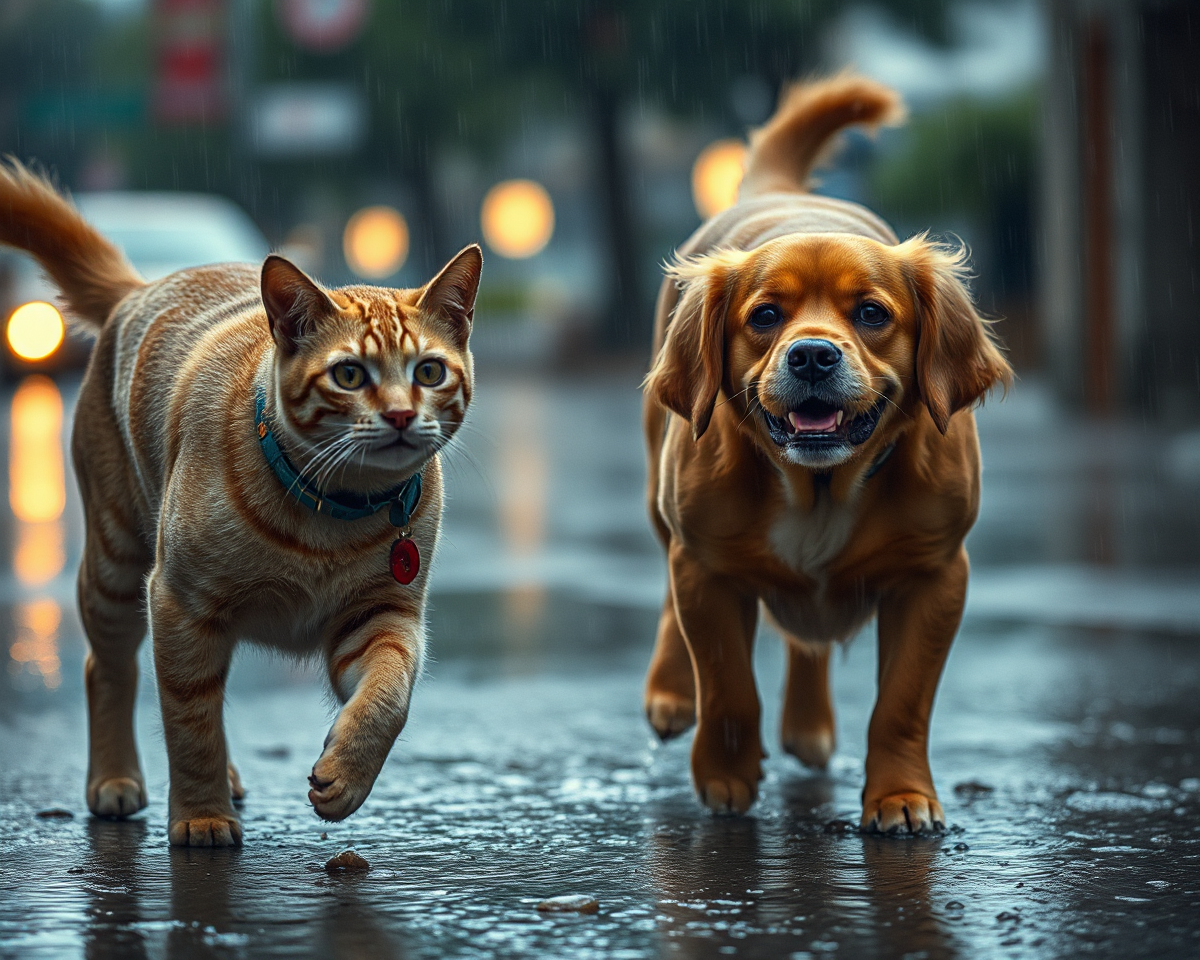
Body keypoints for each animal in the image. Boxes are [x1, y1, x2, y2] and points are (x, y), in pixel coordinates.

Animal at [1, 163, 477, 849]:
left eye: (430, 372)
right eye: (350, 375)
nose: (399, 415)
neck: (332, 513)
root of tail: (141, 287)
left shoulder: (382, 617)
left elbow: (388, 697)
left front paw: (346, 772)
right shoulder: (180, 602)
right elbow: (189, 725)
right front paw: (201, 814)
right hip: (116, 568)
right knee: (111, 671)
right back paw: (116, 779)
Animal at [643, 73, 1008, 830]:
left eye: (871, 313)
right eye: (764, 316)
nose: (812, 354)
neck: (820, 486)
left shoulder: (935, 578)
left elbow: (901, 704)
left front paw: (901, 798)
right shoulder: (705, 568)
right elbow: (727, 684)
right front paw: (724, 778)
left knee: (805, 641)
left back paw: (808, 727)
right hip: (661, 501)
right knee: (669, 594)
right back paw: (671, 694)